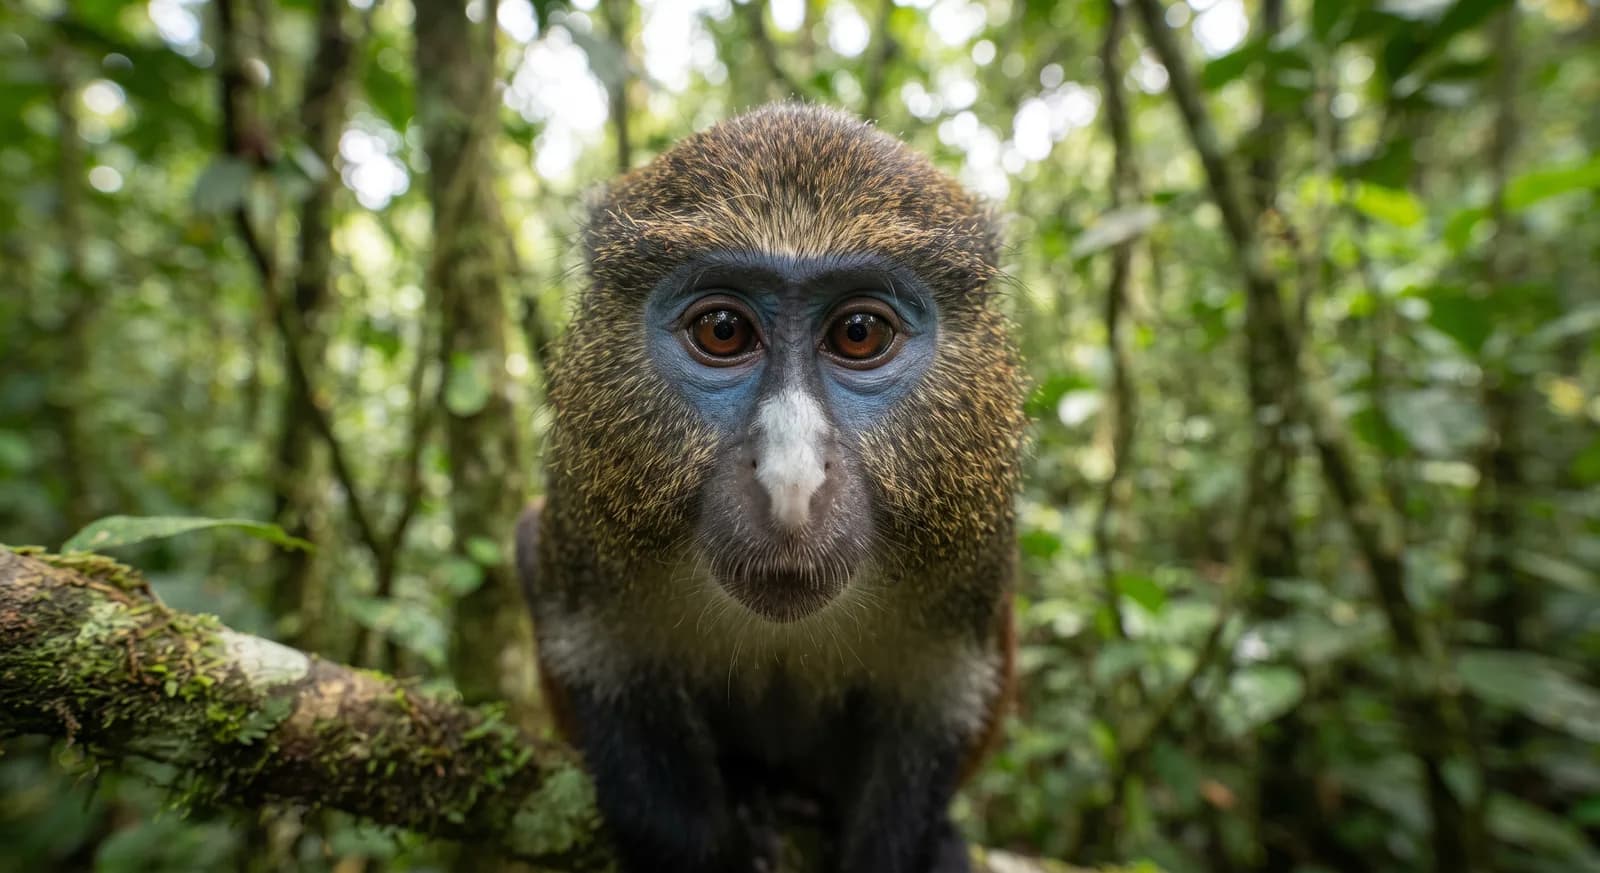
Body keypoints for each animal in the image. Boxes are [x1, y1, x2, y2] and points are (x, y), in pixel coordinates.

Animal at [515, 103, 1027, 873]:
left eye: (858, 332)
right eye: (723, 330)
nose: (792, 479)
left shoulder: (968, 576)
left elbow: (937, 704)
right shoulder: (587, 540)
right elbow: (601, 655)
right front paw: (706, 838)